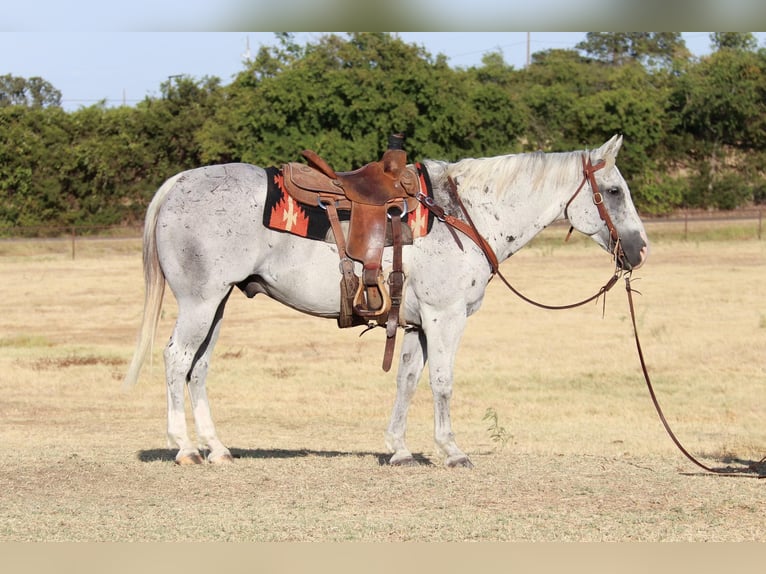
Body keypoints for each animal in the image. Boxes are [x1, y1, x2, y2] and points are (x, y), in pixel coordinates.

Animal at [124, 137, 648, 470]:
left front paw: (399, 449)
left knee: (199, 367)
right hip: (199, 302)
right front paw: (452, 450)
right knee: (176, 359)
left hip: (216, 305)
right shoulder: (445, 317)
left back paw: (216, 448)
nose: (640, 249)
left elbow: (408, 381)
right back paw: (184, 448)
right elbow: (442, 382)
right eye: (614, 191)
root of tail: (178, 184)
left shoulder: (415, 323)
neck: (461, 216)